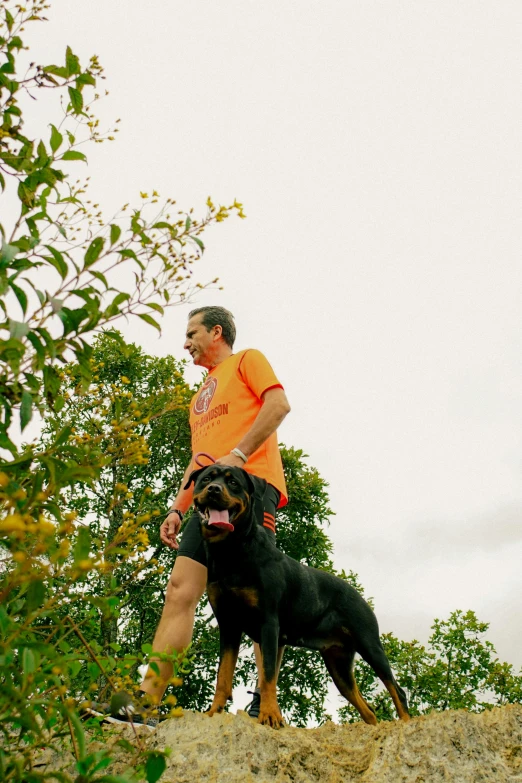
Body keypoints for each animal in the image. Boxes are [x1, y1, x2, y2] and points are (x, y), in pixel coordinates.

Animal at [185, 466, 408, 728]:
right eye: (206, 479)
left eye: (233, 482)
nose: (214, 489)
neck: (231, 550)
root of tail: (359, 595)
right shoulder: (229, 624)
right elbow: (223, 674)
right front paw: (213, 712)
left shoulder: (269, 623)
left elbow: (268, 674)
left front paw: (270, 715)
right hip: (338, 664)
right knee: (368, 709)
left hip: (369, 644)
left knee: (397, 690)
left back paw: (406, 723)